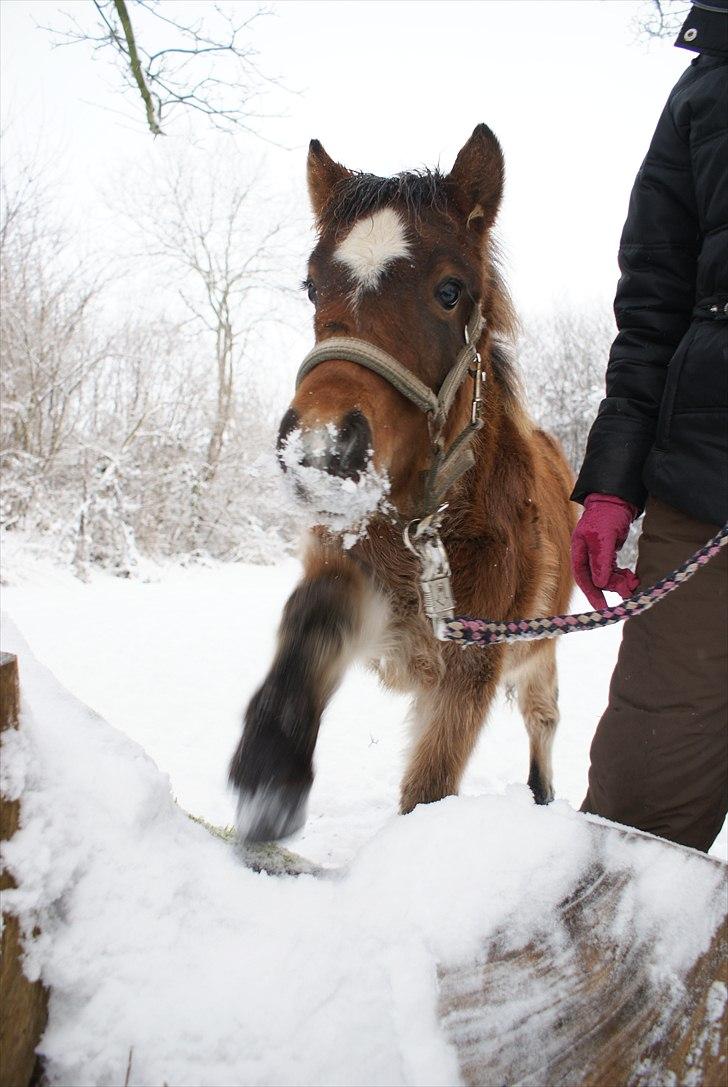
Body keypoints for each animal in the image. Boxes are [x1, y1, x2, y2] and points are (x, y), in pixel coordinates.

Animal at [231, 125, 578, 839]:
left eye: (450, 291)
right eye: (311, 285)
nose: (322, 447)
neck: (429, 530)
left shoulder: (471, 664)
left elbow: (429, 789)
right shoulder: (349, 574)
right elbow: (309, 624)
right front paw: (270, 777)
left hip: (539, 651)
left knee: (543, 718)